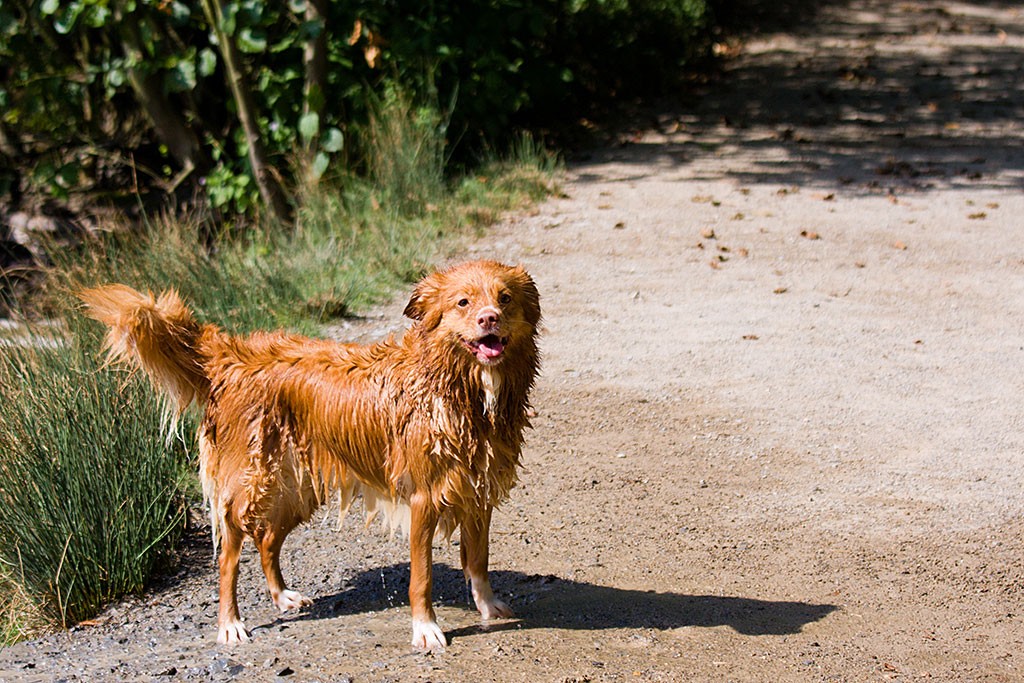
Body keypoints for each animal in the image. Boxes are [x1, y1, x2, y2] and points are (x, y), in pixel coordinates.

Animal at [77, 262, 544, 651]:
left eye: (505, 298)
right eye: (463, 302)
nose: (489, 318)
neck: (460, 390)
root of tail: (230, 354)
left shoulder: (478, 489)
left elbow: (479, 559)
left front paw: (489, 607)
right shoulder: (422, 498)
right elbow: (422, 576)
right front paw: (426, 629)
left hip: (295, 488)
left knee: (267, 539)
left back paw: (282, 596)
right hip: (251, 483)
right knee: (230, 553)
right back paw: (230, 624)